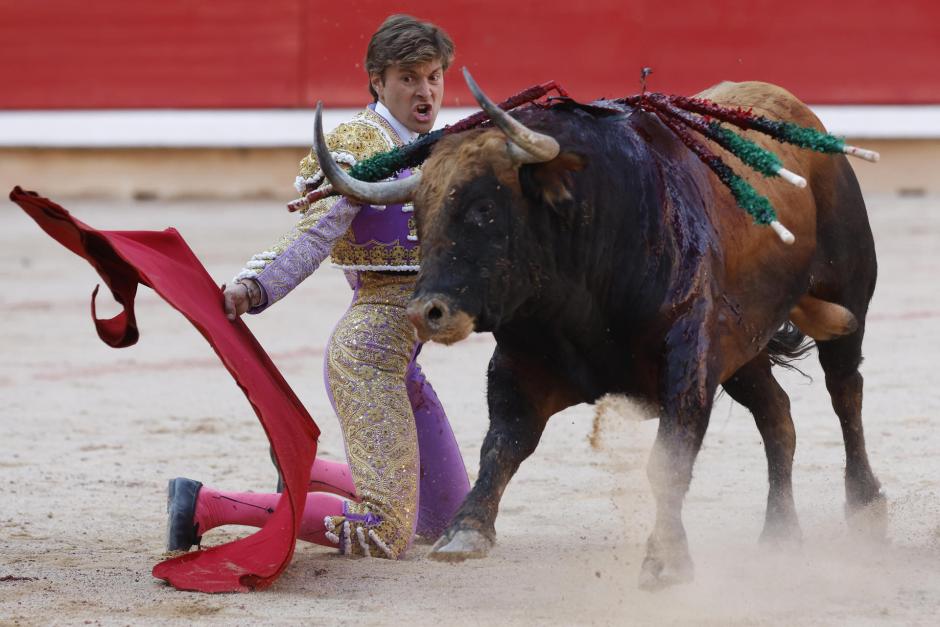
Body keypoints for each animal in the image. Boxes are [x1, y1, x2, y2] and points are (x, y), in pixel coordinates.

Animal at [314, 71, 880, 592]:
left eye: (484, 209)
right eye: (420, 213)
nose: (427, 312)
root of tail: (797, 110)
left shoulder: (688, 357)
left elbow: (668, 461)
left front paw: (664, 561)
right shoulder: (522, 364)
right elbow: (502, 444)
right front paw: (465, 531)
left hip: (848, 293)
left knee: (845, 391)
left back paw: (866, 506)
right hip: (744, 347)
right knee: (777, 414)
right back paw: (780, 532)